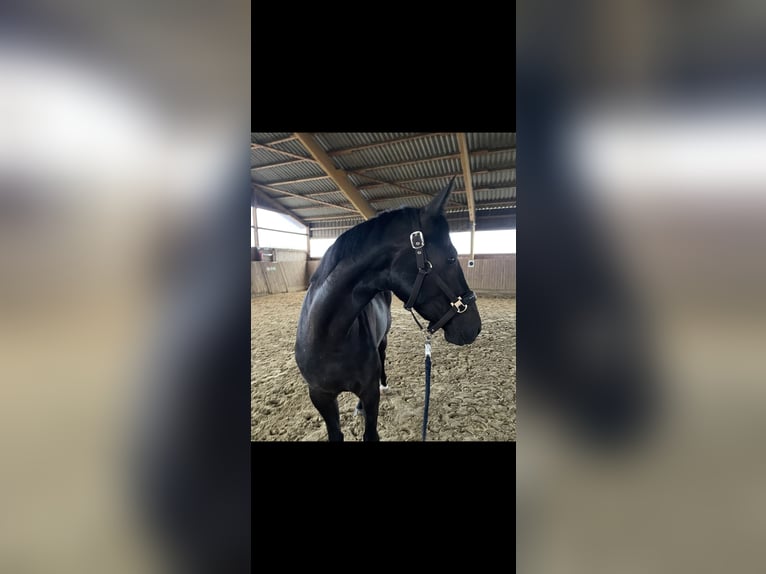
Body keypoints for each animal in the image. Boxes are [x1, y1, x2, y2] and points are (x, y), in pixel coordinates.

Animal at [294, 178, 482, 441]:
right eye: (452, 258)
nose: (474, 327)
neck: (329, 336)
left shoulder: (370, 393)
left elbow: (371, 433)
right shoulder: (321, 397)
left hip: (382, 341)